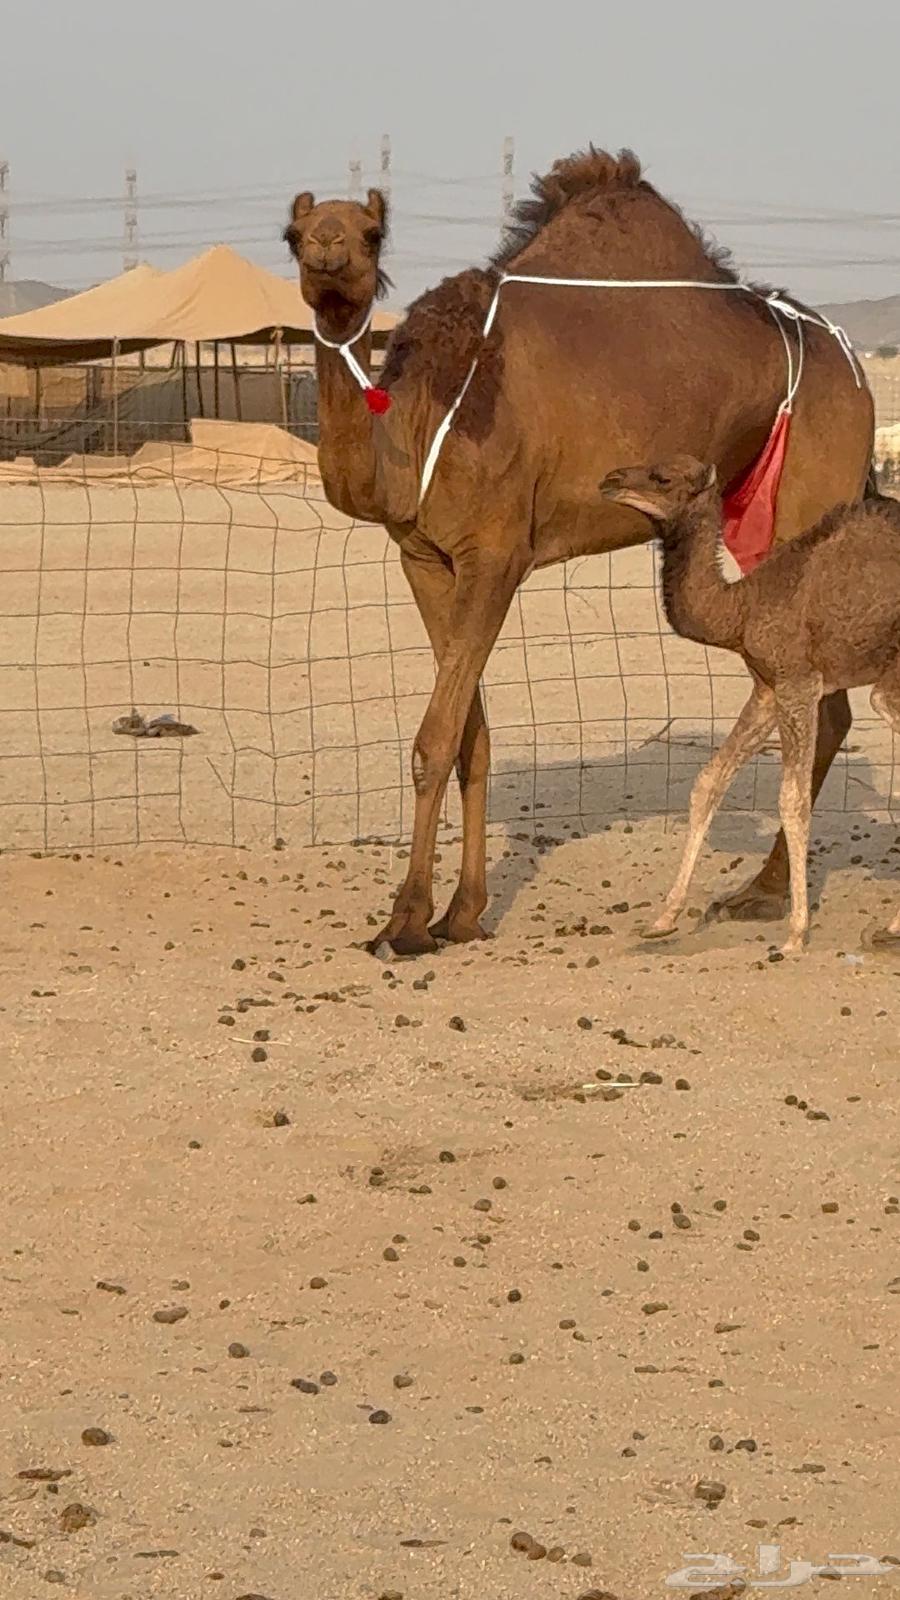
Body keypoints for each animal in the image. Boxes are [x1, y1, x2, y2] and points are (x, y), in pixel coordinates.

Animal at [600, 457, 900, 952]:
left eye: (663, 478)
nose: (610, 480)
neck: (741, 608)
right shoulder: (766, 689)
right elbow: (708, 782)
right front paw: (662, 919)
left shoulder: (798, 682)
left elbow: (792, 800)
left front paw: (795, 934)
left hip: (889, 684)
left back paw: (888, 928)